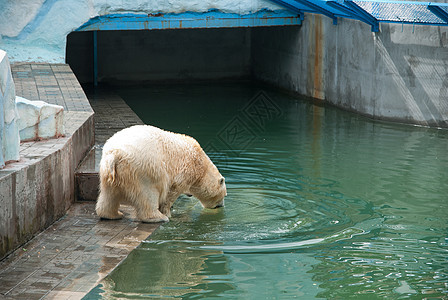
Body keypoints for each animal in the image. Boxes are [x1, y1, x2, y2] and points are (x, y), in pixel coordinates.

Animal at [95, 124, 228, 223]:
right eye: (224, 195)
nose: (221, 206)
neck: (201, 164)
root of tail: (115, 154)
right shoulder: (184, 170)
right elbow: (172, 192)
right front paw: (167, 213)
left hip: (109, 170)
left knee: (109, 194)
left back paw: (113, 214)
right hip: (144, 169)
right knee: (148, 193)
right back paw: (158, 218)